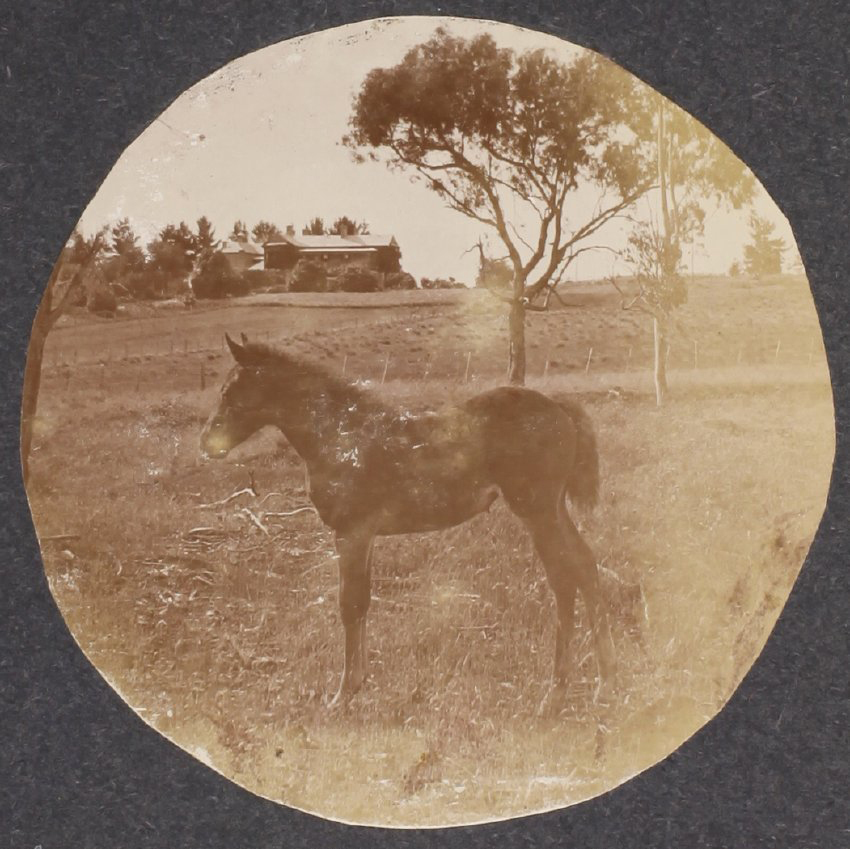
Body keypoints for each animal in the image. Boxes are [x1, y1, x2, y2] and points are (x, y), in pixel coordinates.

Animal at [201, 334, 614, 709]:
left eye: (231, 390)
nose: (207, 443)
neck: (341, 436)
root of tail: (559, 406)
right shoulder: (364, 536)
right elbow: (363, 602)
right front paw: (358, 684)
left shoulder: (352, 532)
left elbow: (349, 605)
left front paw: (343, 694)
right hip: (554, 508)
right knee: (585, 568)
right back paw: (599, 682)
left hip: (536, 510)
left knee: (565, 578)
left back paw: (558, 693)